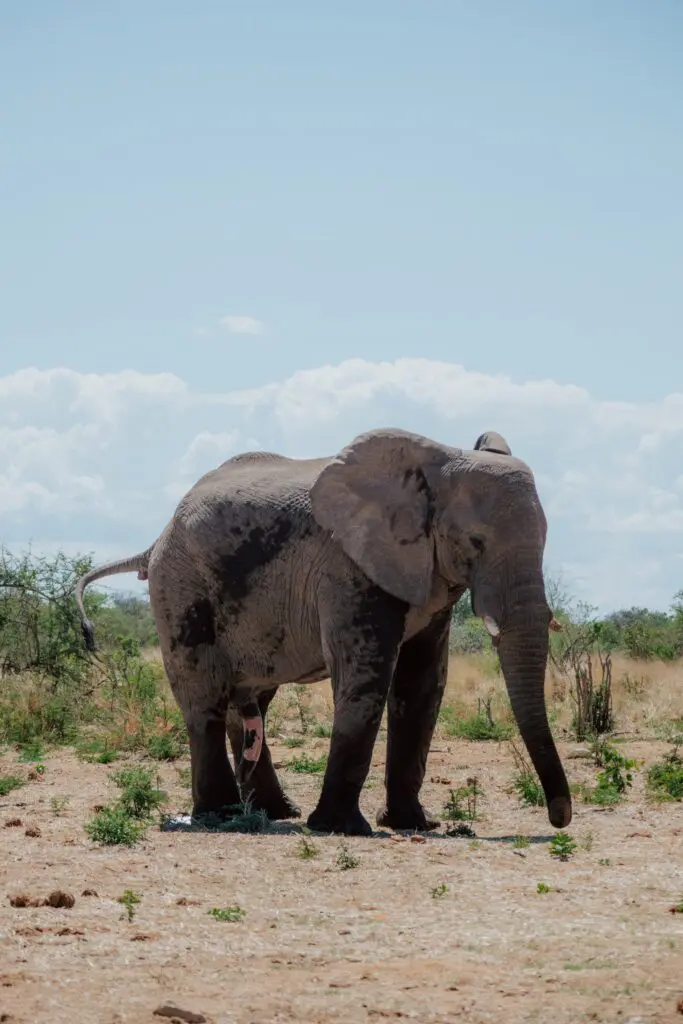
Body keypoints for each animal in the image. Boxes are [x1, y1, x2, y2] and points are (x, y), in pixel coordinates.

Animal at [74, 427, 572, 836]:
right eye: (475, 542)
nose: (560, 818)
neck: (433, 465)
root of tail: (155, 540)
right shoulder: (346, 565)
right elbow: (365, 675)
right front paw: (342, 828)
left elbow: (423, 684)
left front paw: (414, 824)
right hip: (179, 585)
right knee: (205, 697)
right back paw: (220, 816)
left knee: (251, 702)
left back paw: (273, 813)